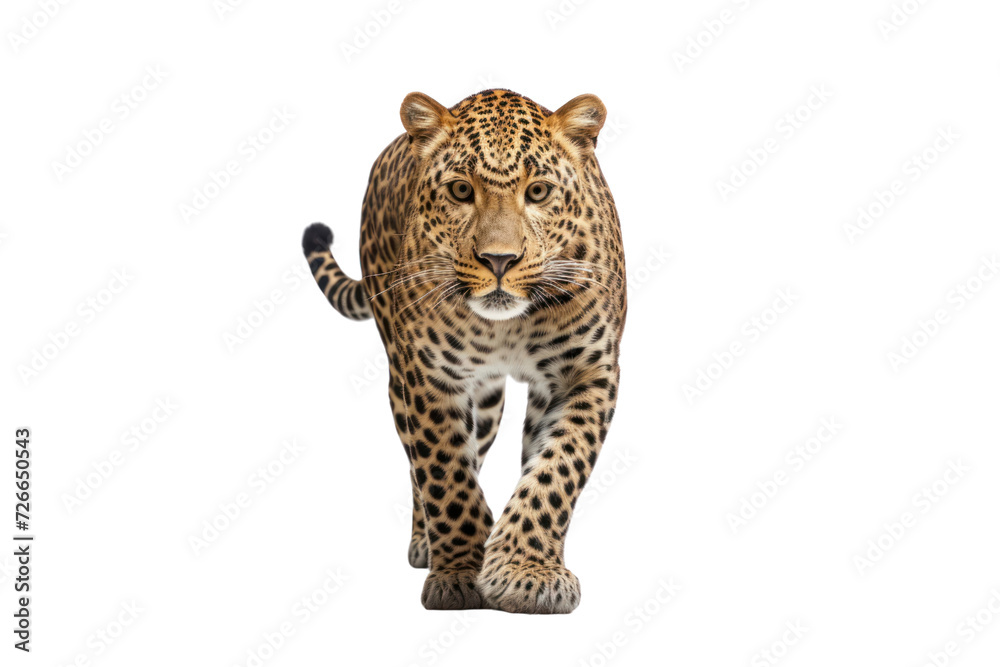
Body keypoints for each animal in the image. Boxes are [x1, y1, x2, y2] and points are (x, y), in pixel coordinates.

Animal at [301, 88, 626, 614]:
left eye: (538, 192)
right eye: (459, 191)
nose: (499, 260)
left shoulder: (588, 372)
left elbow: (556, 469)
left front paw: (525, 571)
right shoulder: (428, 374)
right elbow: (445, 472)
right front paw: (459, 572)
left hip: (489, 399)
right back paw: (427, 543)